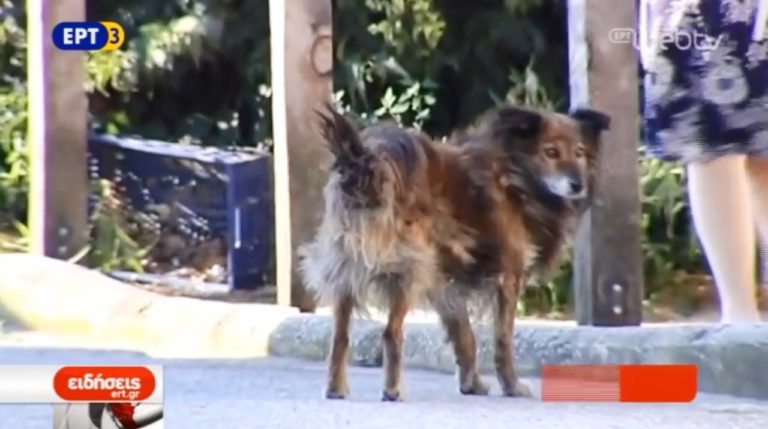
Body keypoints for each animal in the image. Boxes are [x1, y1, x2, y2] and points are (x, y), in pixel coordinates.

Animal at [304, 103, 608, 402]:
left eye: (580, 152)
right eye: (551, 152)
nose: (578, 184)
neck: (513, 174)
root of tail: (367, 161)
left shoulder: (443, 281)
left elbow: (464, 335)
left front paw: (471, 384)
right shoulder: (508, 276)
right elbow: (503, 338)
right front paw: (511, 386)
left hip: (346, 267)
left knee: (340, 336)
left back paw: (336, 388)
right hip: (408, 270)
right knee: (391, 332)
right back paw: (393, 390)